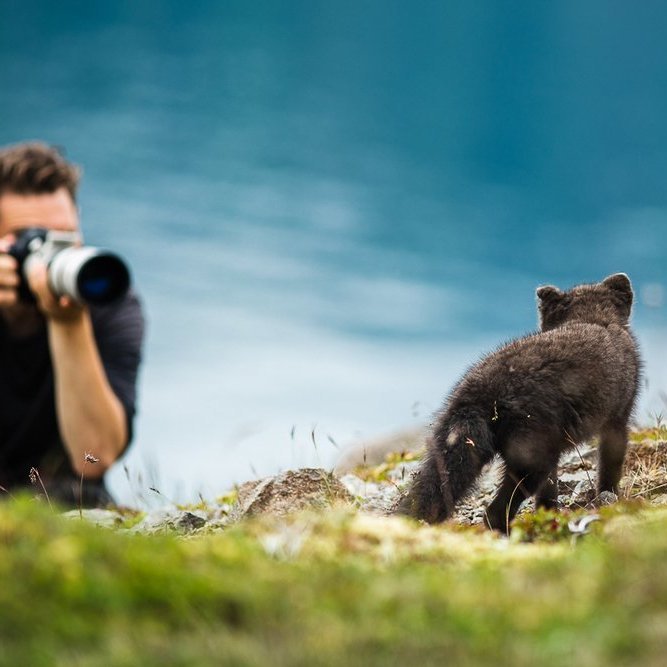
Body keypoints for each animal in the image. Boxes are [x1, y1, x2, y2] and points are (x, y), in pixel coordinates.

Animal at [397, 273, 641, 532]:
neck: (591, 317)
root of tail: (480, 394)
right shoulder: (617, 419)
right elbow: (610, 467)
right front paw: (610, 498)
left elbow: (549, 491)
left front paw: (548, 515)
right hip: (531, 456)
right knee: (493, 513)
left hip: (448, 448)